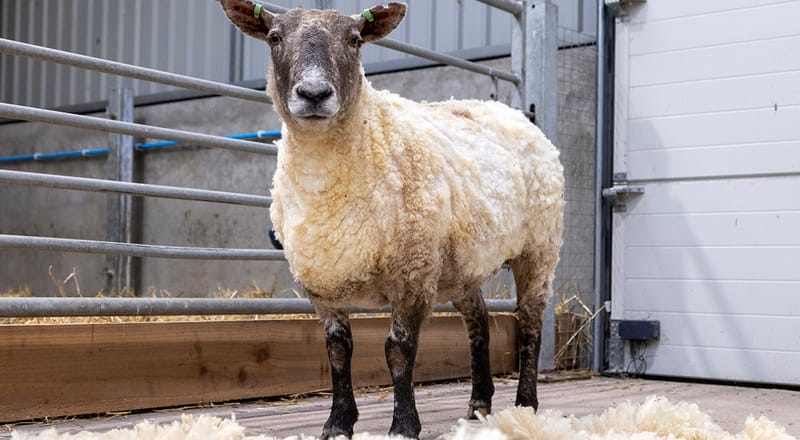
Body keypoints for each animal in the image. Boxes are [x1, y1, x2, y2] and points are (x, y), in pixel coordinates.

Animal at [219, 2, 564, 439]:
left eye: (354, 40)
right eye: (274, 37)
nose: (313, 94)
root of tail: (513, 114)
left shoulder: (412, 274)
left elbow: (398, 351)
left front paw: (403, 425)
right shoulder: (321, 282)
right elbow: (337, 350)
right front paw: (338, 422)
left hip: (539, 246)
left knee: (530, 324)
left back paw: (525, 405)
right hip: (460, 265)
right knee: (480, 323)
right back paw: (478, 404)